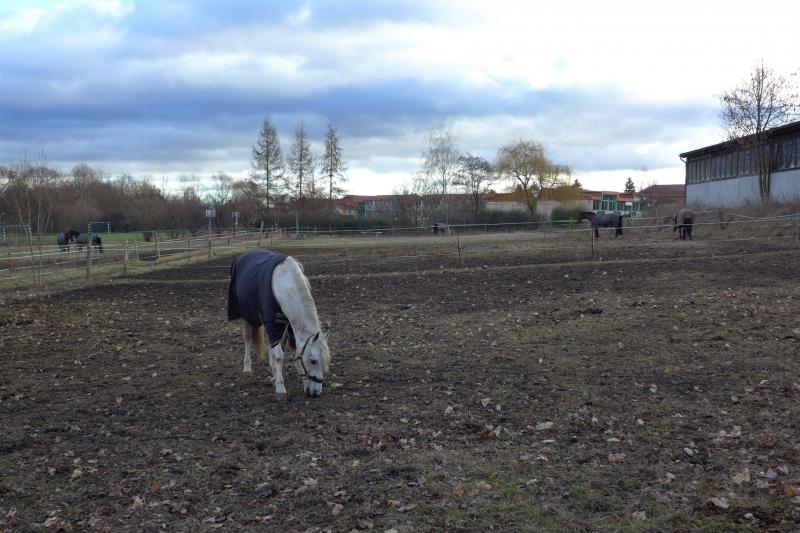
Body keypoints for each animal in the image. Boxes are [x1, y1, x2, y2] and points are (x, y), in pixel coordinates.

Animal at [227, 249, 331, 398]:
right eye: (313, 361)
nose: (315, 392)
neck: (284, 284)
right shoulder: (272, 322)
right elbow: (279, 355)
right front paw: (280, 387)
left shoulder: (285, 324)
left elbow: (279, 348)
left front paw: (275, 376)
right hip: (245, 314)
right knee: (247, 338)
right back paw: (247, 367)